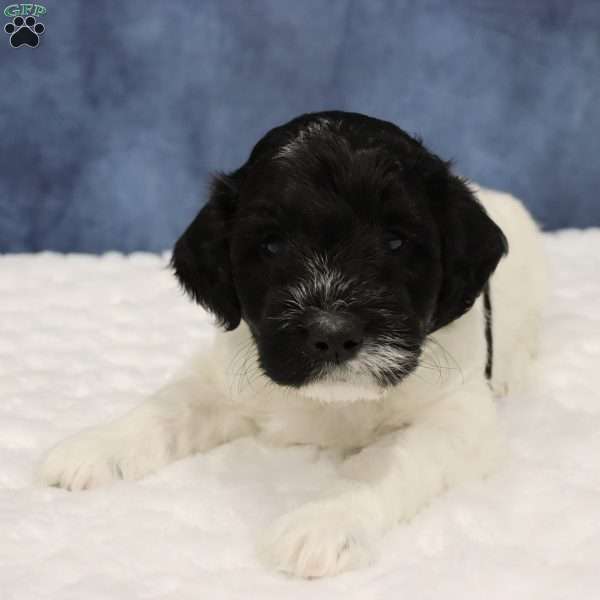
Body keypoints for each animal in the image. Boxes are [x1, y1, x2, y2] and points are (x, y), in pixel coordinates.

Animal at [39, 111, 548, 576]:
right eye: (271, 246)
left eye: (395, 241)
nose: (333, 333)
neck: (331, 403)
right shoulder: (223, 376)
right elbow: (168, 405)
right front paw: (95, 446)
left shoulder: (455, 416)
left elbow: (384, 460)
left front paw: (323, 521)